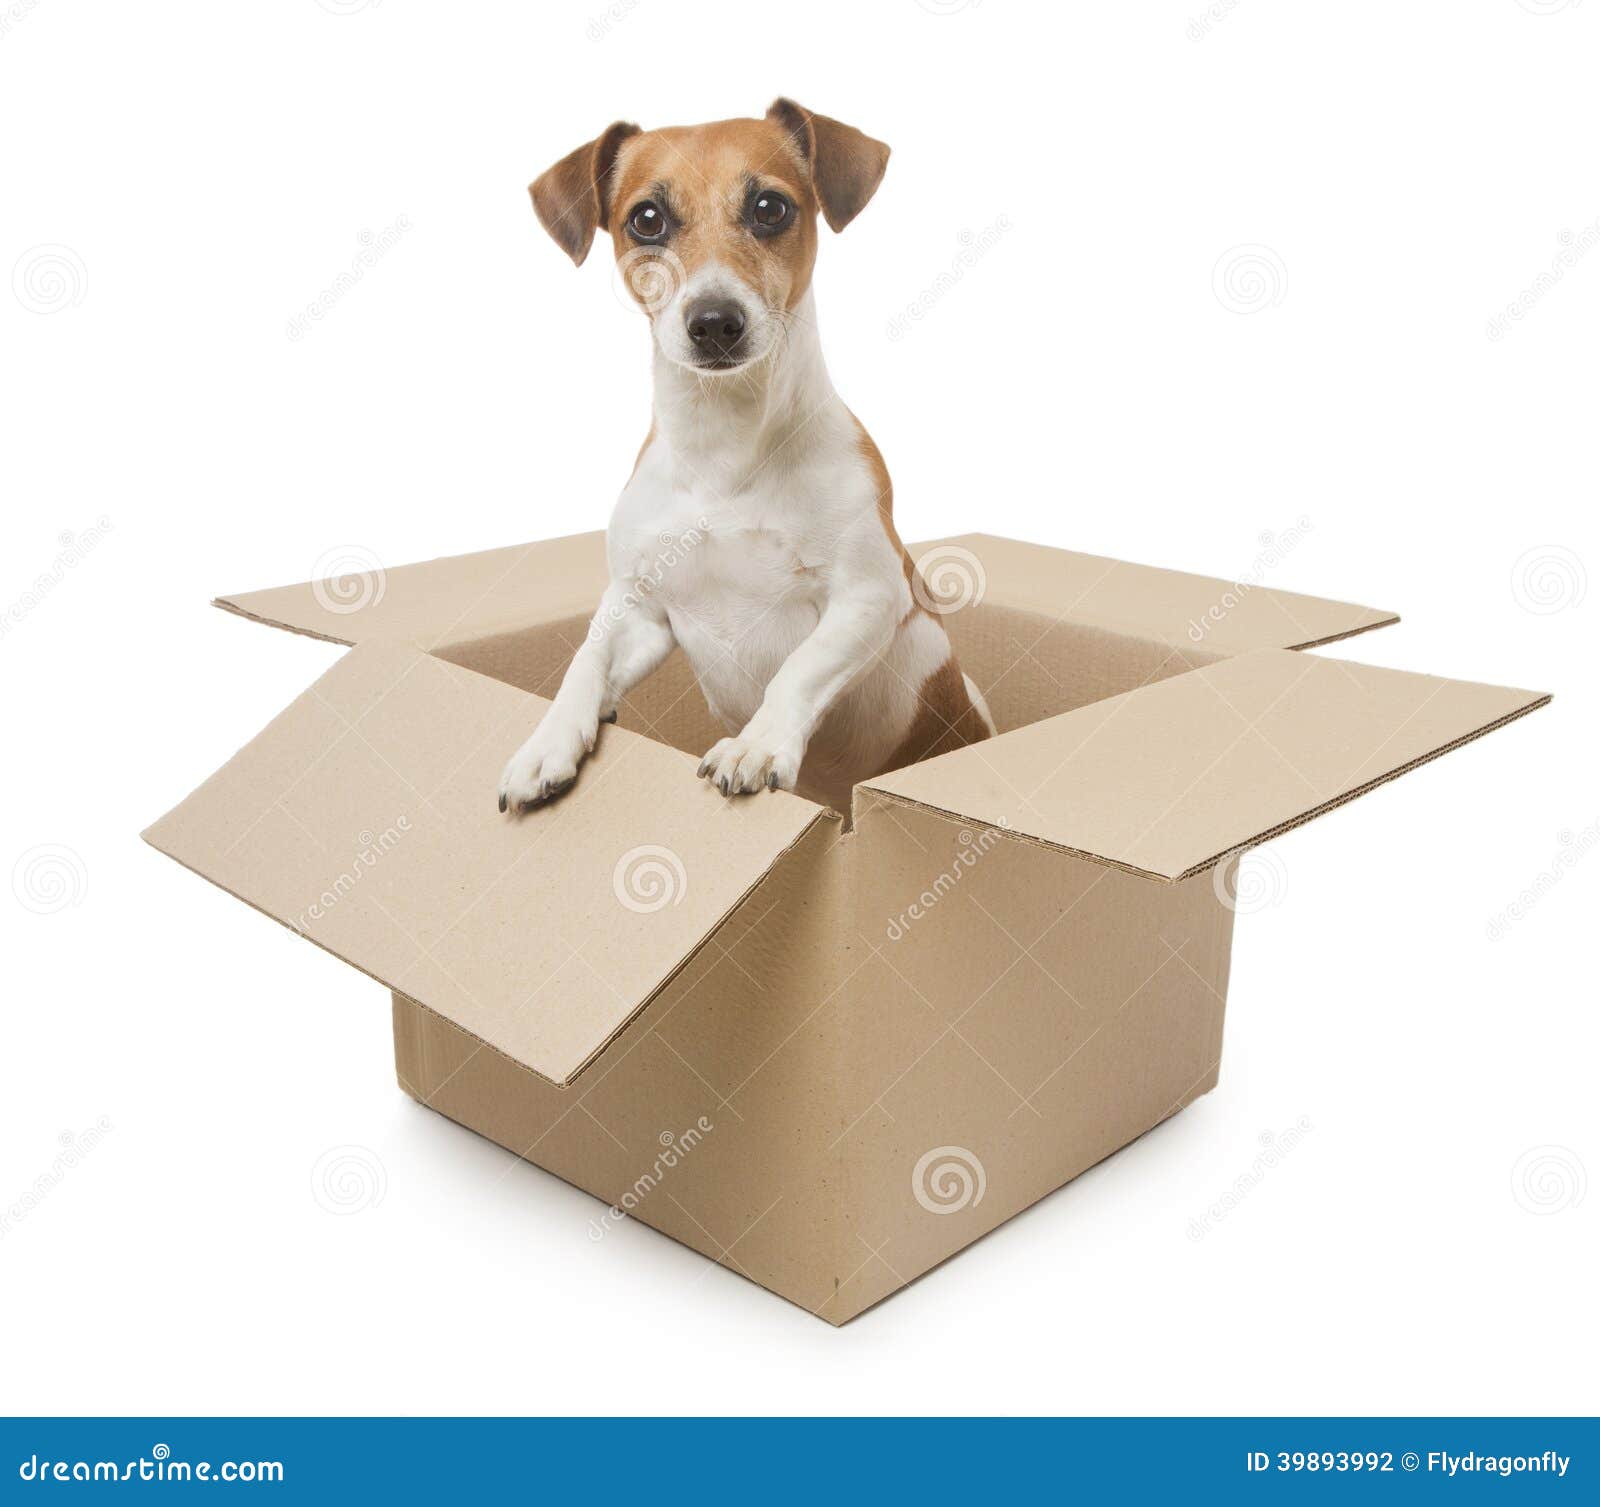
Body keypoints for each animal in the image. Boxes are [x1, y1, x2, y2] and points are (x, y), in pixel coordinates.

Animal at [492, 100, 992, 819]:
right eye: (646, 218)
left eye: (770, 207)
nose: (713, 321)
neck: (723, 451)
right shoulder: (641, 610)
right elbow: (584, 659)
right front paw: (547, 742)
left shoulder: (871, 596)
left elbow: (797, 670)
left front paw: (754, 745)